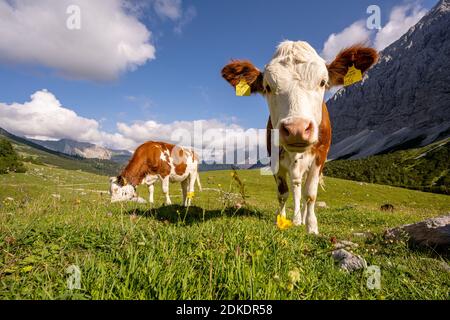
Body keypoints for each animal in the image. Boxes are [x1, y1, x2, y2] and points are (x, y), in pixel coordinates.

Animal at [221, 41, 376, 234]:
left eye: (322, 82)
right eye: (268, 87)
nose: (297, 129)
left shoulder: (320, 156)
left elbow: (310, 194)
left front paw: (311, 227)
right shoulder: (274, 158)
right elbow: (283, 193)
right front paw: (281, 221)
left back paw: (301, 219)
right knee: (295, 188)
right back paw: (296, 219)